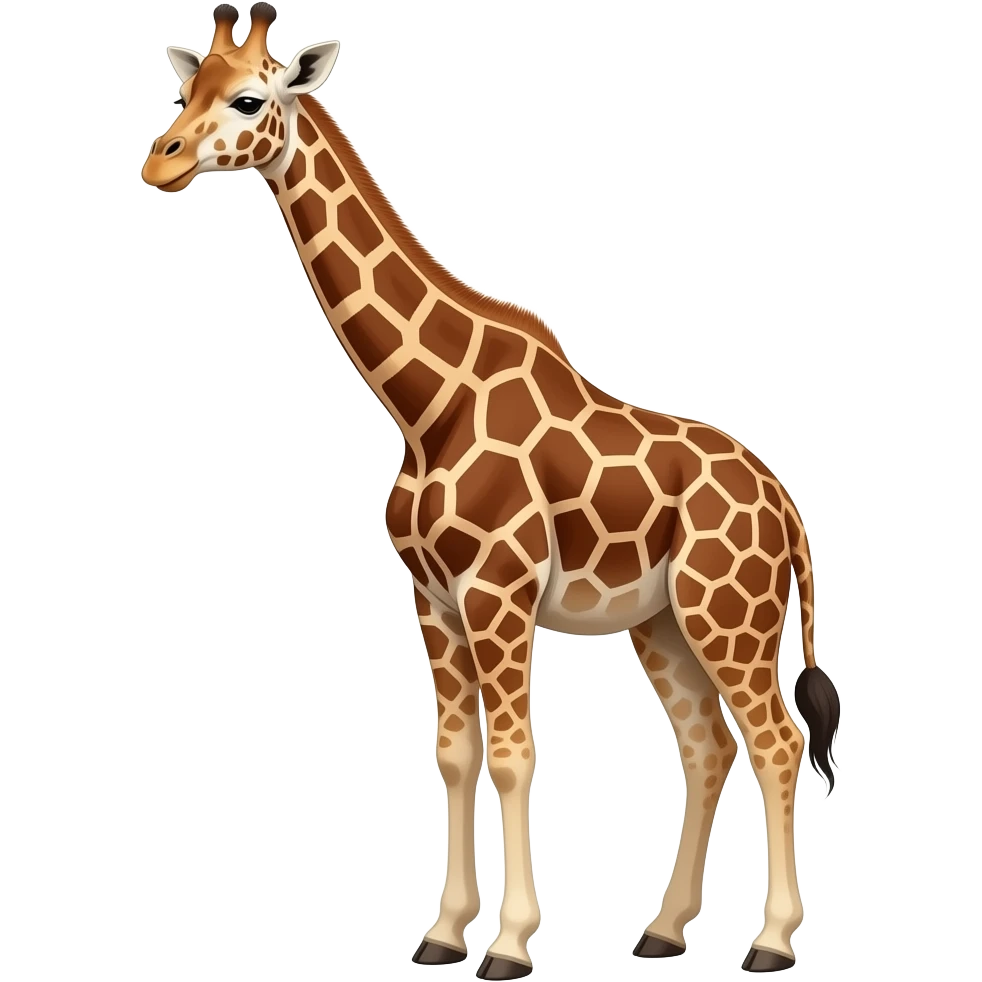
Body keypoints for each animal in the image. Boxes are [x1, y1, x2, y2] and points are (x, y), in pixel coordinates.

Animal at [141, 5, 841, 978]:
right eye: (187, 88)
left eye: (249, 98)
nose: (159, 162)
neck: (424, 407)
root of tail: (787, 508)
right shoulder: (432, 598)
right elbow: (453, 754)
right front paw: (442, 934)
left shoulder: (498, 593)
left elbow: (512, 756)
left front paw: (508, 944)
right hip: (662, 622)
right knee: (706, 746)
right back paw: (663, 932)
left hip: (727, 612)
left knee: (775, 742)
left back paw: (770, 943)